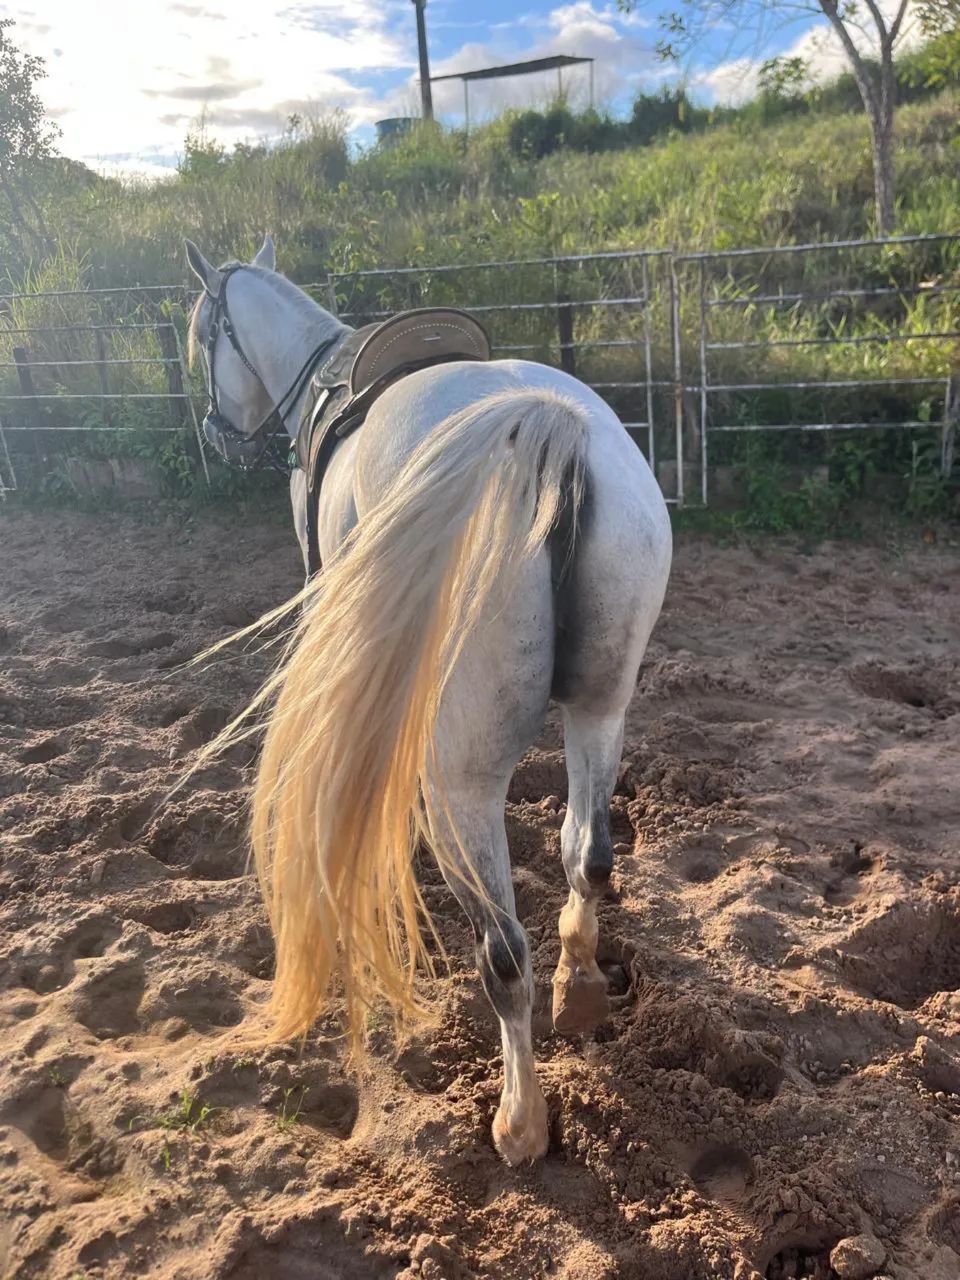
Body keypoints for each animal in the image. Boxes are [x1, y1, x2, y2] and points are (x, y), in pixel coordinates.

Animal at [185, 234, 672, 1165]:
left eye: (199, 335)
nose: (217, 438)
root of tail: (546, 430)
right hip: (600, 711)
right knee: (586, 854)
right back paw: (580, 982)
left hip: (461, 785)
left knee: (504, 954)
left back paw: (519, 1123)